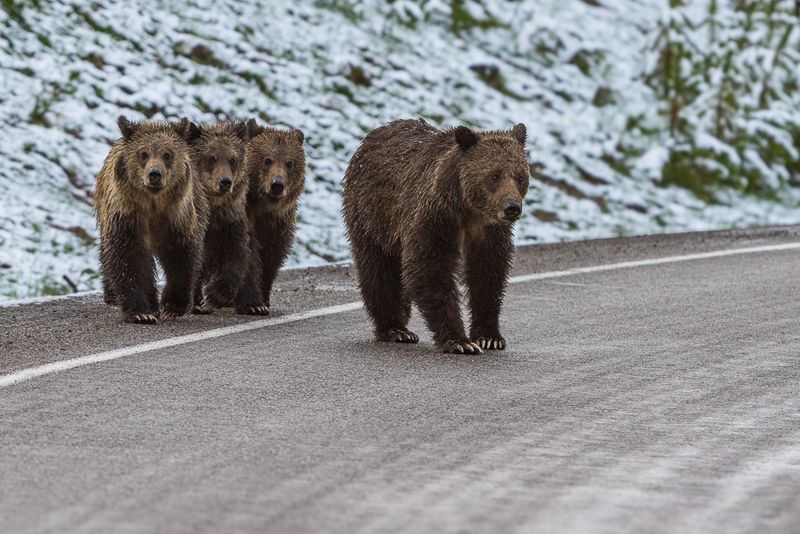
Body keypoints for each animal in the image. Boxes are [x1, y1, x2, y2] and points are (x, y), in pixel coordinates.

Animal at [94, 116, 208, 324]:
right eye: (143, 154)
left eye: (167, 154)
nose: (154, 174)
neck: (152, 204)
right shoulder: (126, 215)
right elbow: (128, 258)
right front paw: (142, 312)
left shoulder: (177, 216)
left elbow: (181, 255)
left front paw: (171, 308)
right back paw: (112, 295)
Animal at [186, 121, 251, 313]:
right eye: (211, 157)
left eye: (232, 159)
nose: (225, 182)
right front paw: (198, 300)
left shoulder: (229, 221)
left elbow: (235, 256)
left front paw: (213, 296)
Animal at [234, 119, 306, 316]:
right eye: (267, 159)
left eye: (289, 162)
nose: (277, 185)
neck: (264, 205)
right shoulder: (246, 214)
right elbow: (249, 251)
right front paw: (253, 304)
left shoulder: (279, 221)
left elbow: (272, 255)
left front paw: (264, 299)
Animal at [341, 118, 530, 354]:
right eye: (494, 175)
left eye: (520, 176)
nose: (511, 207)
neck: (469, 212)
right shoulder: (436, 217)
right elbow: (430, 266)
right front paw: (460, 341)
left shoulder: (490, 232)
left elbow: (488, 273)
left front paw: (489, 337)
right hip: (374, 216)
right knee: (379, 270)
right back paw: (396, 329)